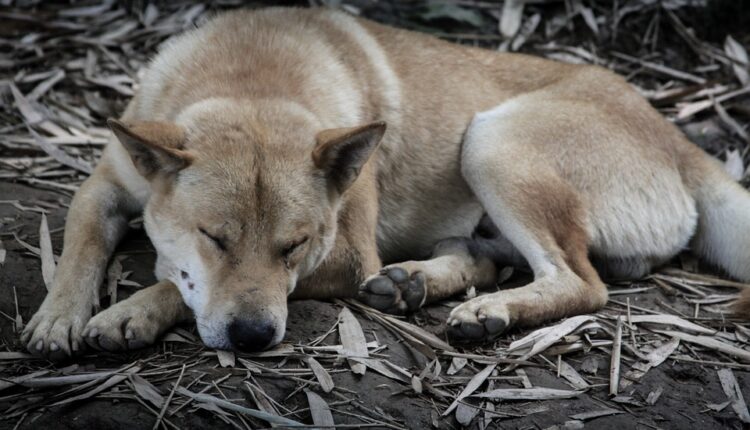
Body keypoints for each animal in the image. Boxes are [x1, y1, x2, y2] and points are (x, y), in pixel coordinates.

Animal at [22, 7, 750, 360]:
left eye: (295, 246)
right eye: (215, 238)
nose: (254, 339)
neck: (252, 77)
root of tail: (678, 135)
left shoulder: (345, 254)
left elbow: (176, 284)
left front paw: (133, 310)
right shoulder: (103, 185)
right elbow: (82, 249)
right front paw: (57, 319)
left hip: (491, 141)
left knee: (582, 282)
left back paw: (486, 311)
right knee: (491, 257)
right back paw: (418, 282)